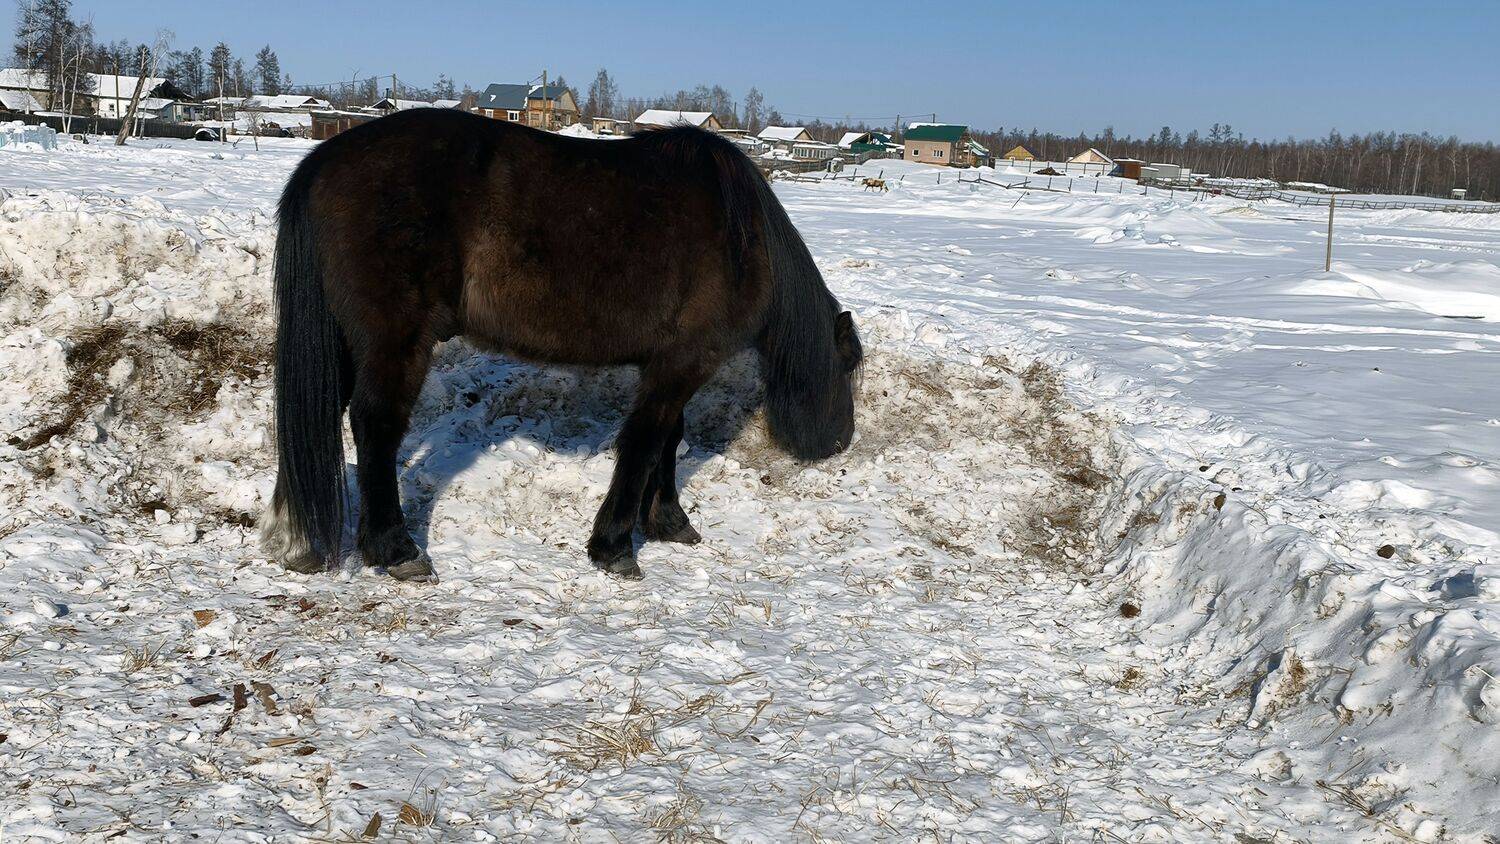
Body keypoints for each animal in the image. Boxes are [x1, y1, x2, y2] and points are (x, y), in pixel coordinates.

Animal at [261, 108, 863, 581]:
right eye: (848, 366)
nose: (841, 441)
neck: (743, 240)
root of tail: (324, 161)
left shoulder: (671, 362)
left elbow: (669, 440)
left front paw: (668, 522)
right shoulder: (684, 361)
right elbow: (645, 442)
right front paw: (614, 545)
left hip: (346, 343)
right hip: (395, 339)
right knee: (376, 424)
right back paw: (395, 548)